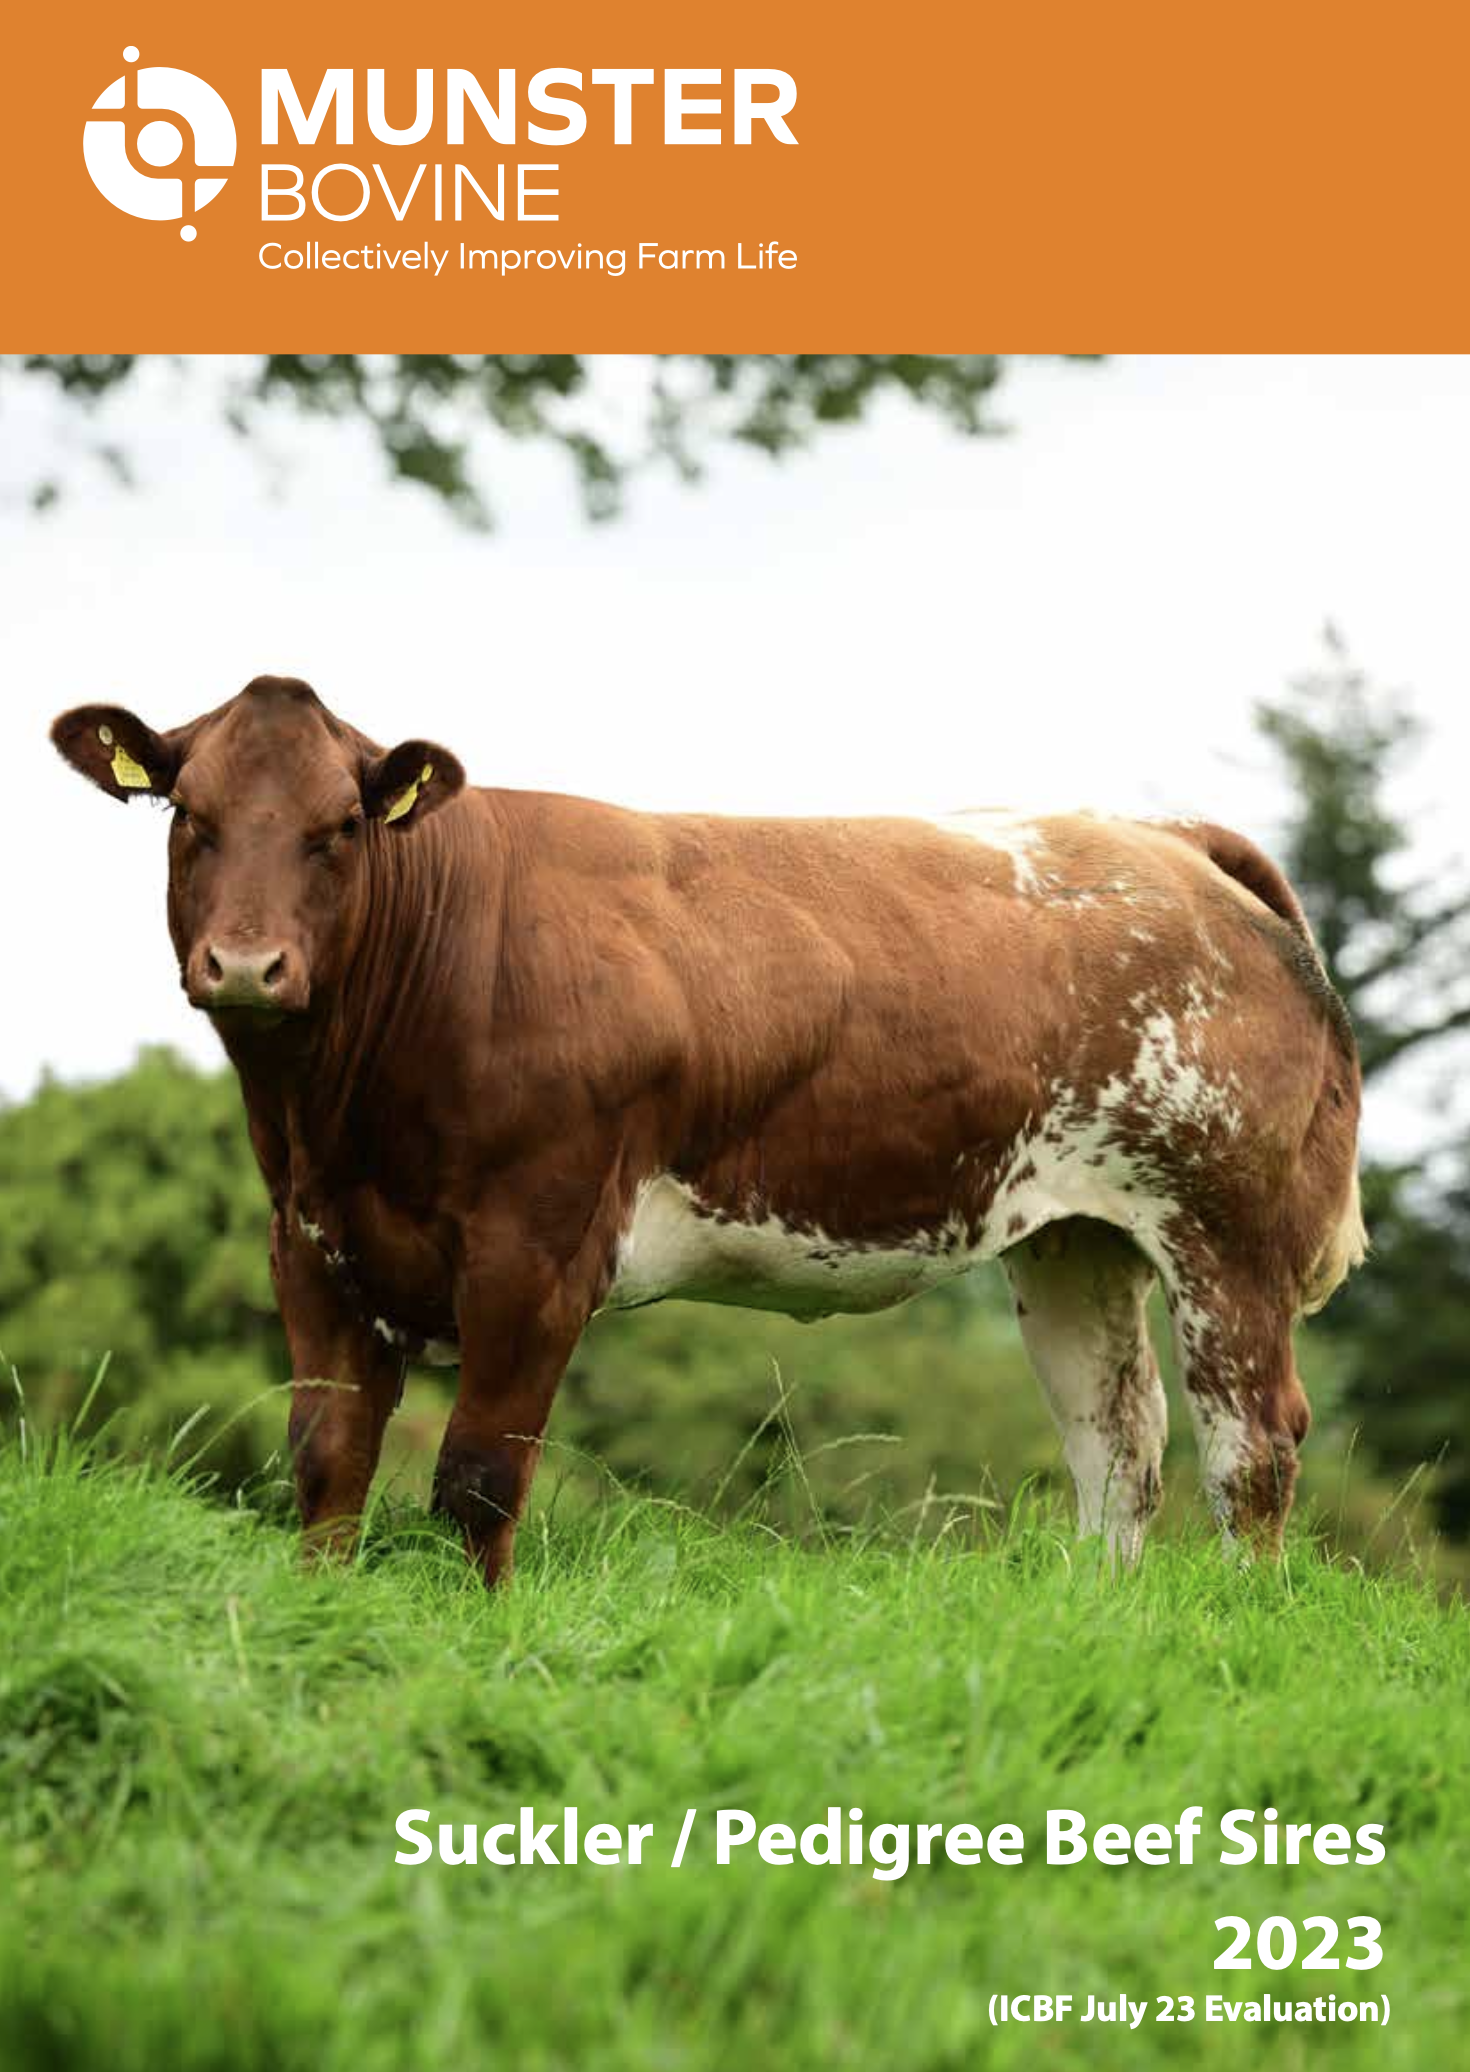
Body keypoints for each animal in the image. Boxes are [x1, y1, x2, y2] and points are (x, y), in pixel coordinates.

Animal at [50, 675, 1365, 1581]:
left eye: (339, 827)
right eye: (189, 814)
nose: (247, 964)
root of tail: (1163, 839)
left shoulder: (539, 1252)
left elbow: (478, 1474)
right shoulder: (312, 1240)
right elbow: (328, 1457)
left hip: (1225, 1232)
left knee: (1252, 1444)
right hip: (1075, 1236)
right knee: (1117, 1441)